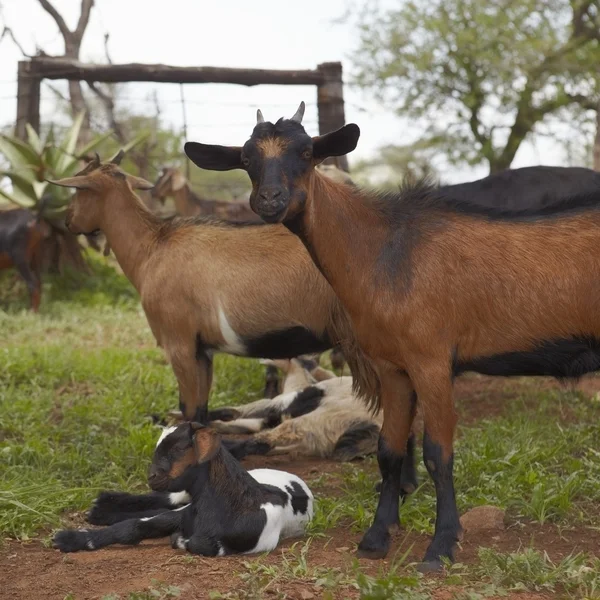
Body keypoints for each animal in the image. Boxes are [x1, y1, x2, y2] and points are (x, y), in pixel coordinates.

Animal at [52, 422, 314, 556]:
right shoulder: (182, 513)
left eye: (177, 449)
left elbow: (200, 543)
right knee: (167, 500)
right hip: (180, 499)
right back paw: (103, 507)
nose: (151, 475)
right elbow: (132, 527)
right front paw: (72, 538)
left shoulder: (256, 542)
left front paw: (179, 539)